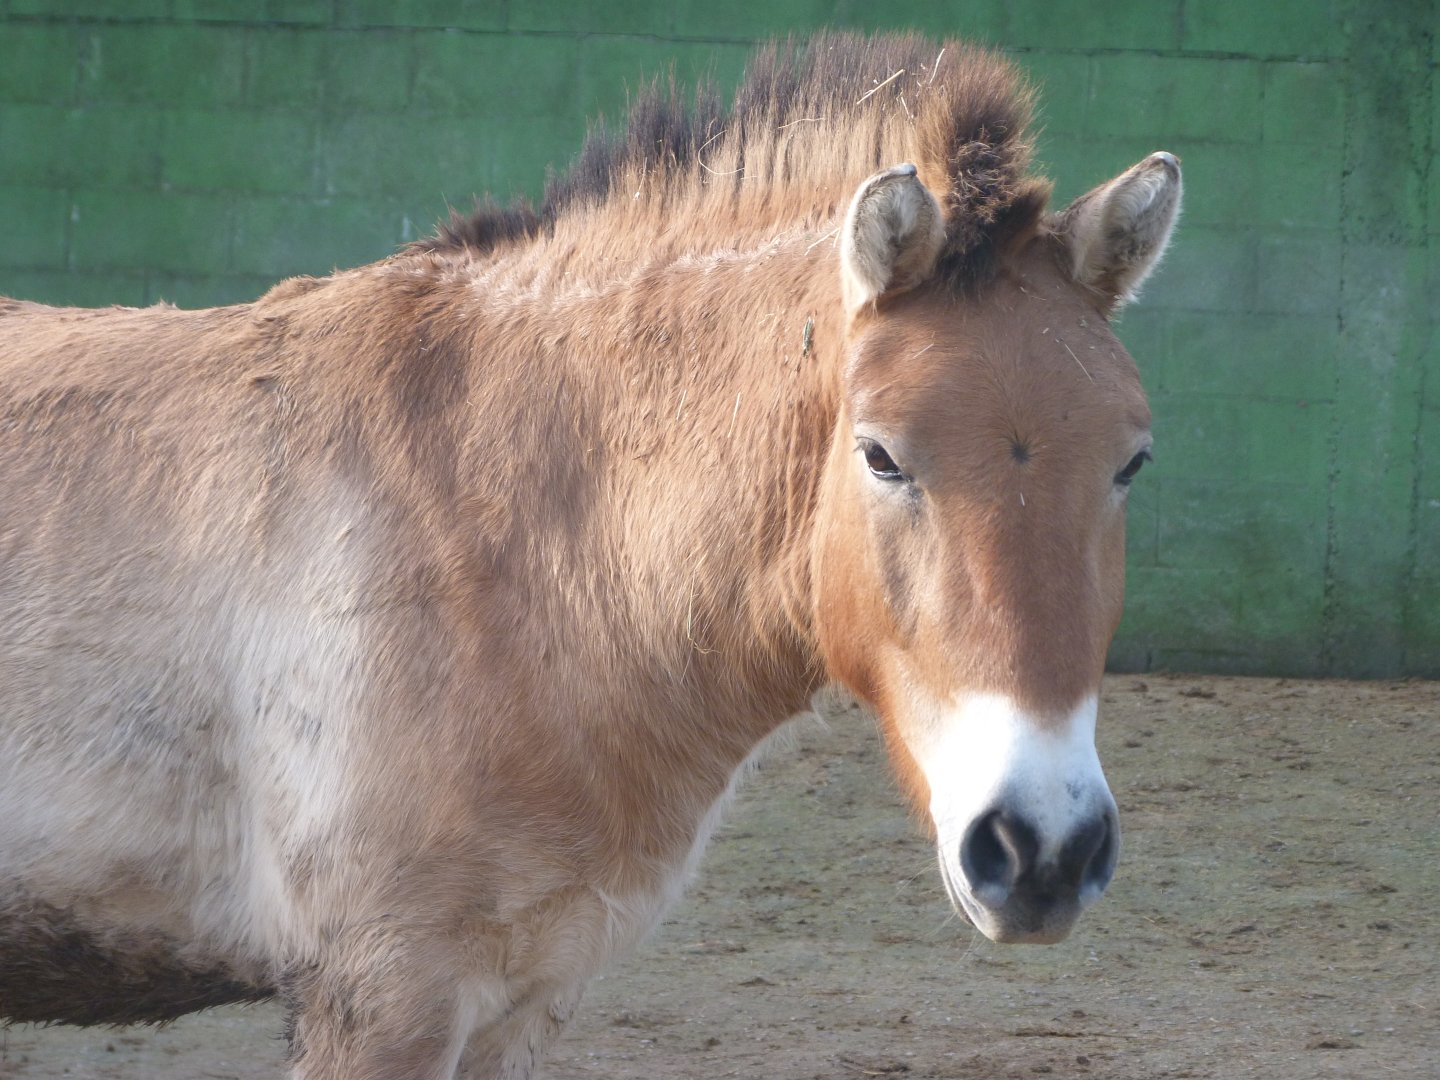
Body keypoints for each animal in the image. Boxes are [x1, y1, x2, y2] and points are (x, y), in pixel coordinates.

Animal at [0, 32, 1180, 1080]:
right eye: (882, 456)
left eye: (1132, 461)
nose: (1043, 851)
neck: (507, 546)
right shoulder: (382, 1001)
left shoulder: (527, 998)